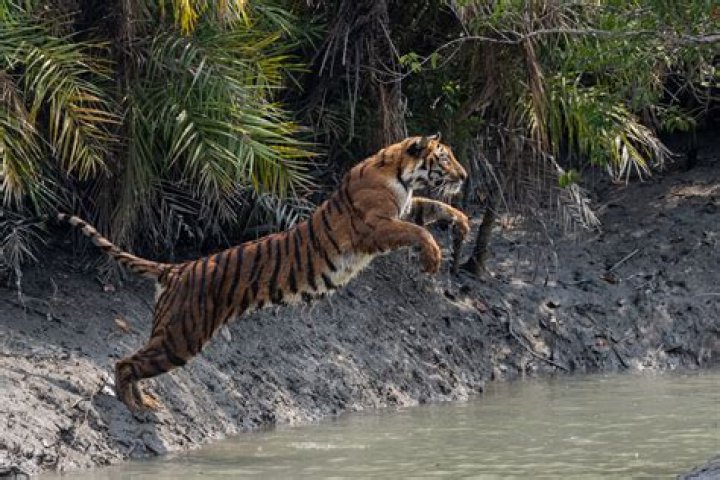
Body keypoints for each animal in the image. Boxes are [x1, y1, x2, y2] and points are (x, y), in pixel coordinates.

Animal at [58, 134, 470, 412]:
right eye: (445, 158)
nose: (465, 176)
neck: (399, 172)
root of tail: (176, 268)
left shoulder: (405, 208)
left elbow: (432, 208)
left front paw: (462, 222)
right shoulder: (375, 228)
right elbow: (417, 230)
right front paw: (433, 256)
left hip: (173, 333)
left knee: (132, 361)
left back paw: (142, 402)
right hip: (181, 336)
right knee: (125, 362)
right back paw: (135, 405)